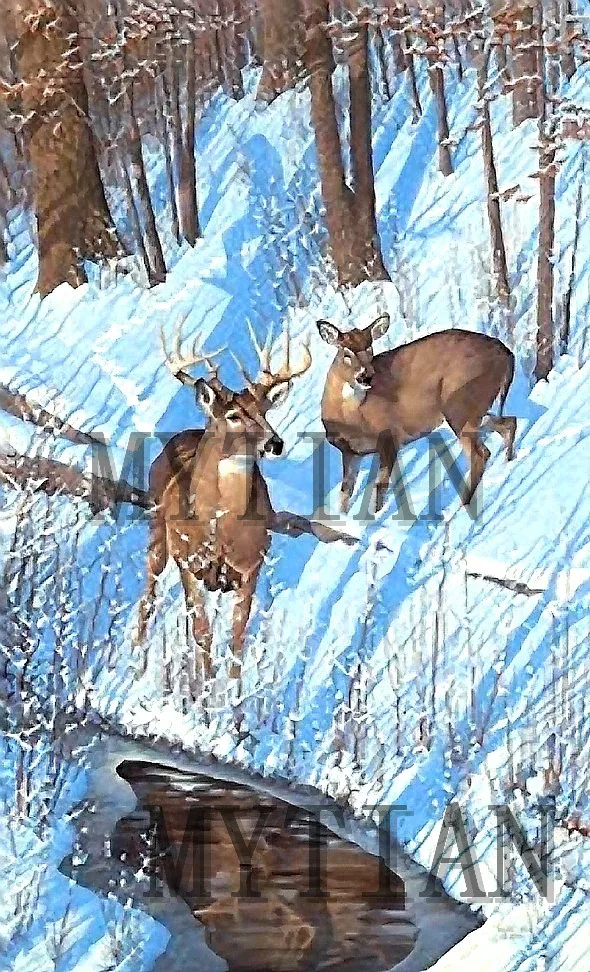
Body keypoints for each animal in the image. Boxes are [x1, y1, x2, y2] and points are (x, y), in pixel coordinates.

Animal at [136, 323, 312, 682]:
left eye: (265, 411)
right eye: (233, 414)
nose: (274, 442)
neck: (221, 530)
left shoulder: (252, 566)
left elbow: (237, 640)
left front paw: (229, 694)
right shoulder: (187, 561)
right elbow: (203, 633)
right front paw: (205, 692)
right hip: (158, 533)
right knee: (149, 595)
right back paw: (137, 664)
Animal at [316, 314, 517, 514]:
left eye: (370, 348)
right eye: (346, 353)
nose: (366, 376)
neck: (350, 415)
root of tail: (507, 353)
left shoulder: (389, 436)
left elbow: (379, 487)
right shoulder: (350, 452)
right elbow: (344, 495)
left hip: (459, 403)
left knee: (480, 454)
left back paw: (460, 507)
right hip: (469, 409)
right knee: (509, 423)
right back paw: (508, 461)